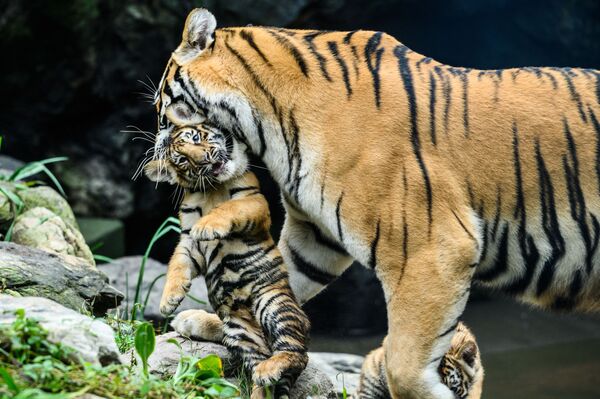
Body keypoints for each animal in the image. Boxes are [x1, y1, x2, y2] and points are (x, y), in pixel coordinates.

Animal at [150, 8, 600, 399]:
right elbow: (279, 278)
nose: (157, 147)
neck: (271, 124)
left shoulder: (433, 250)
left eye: (163, 108)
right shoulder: (314, 233)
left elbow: (402, 364)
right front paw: (204, 318)